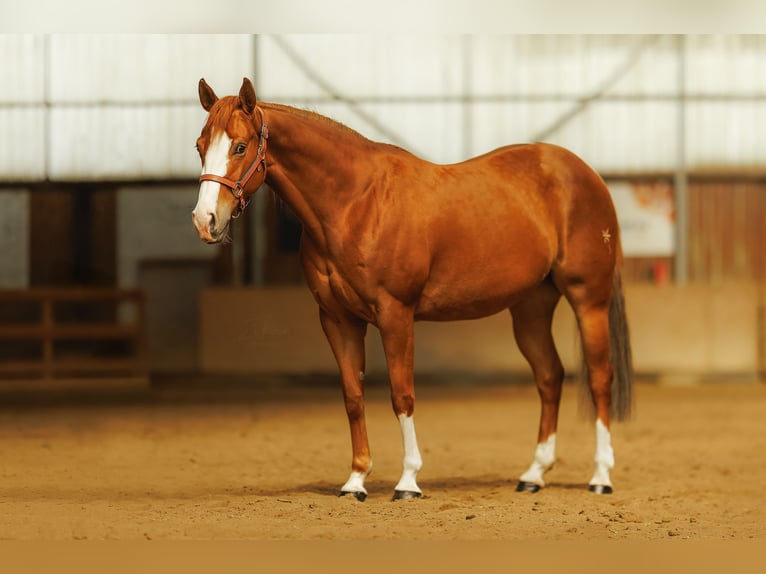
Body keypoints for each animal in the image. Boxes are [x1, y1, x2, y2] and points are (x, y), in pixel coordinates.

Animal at [192, 77, 633, 501]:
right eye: (199, 146)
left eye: (240, 146)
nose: (204, 220)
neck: (354, 203)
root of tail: (584, 173)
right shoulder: (337, 319)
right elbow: (353, 396)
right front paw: (356, 480)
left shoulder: (395, 315)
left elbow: (401, 395)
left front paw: (408, 482)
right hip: (531, 307)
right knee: (550, 376)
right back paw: (533, 475)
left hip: (588, 300)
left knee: (599, 378)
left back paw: (600, 477)